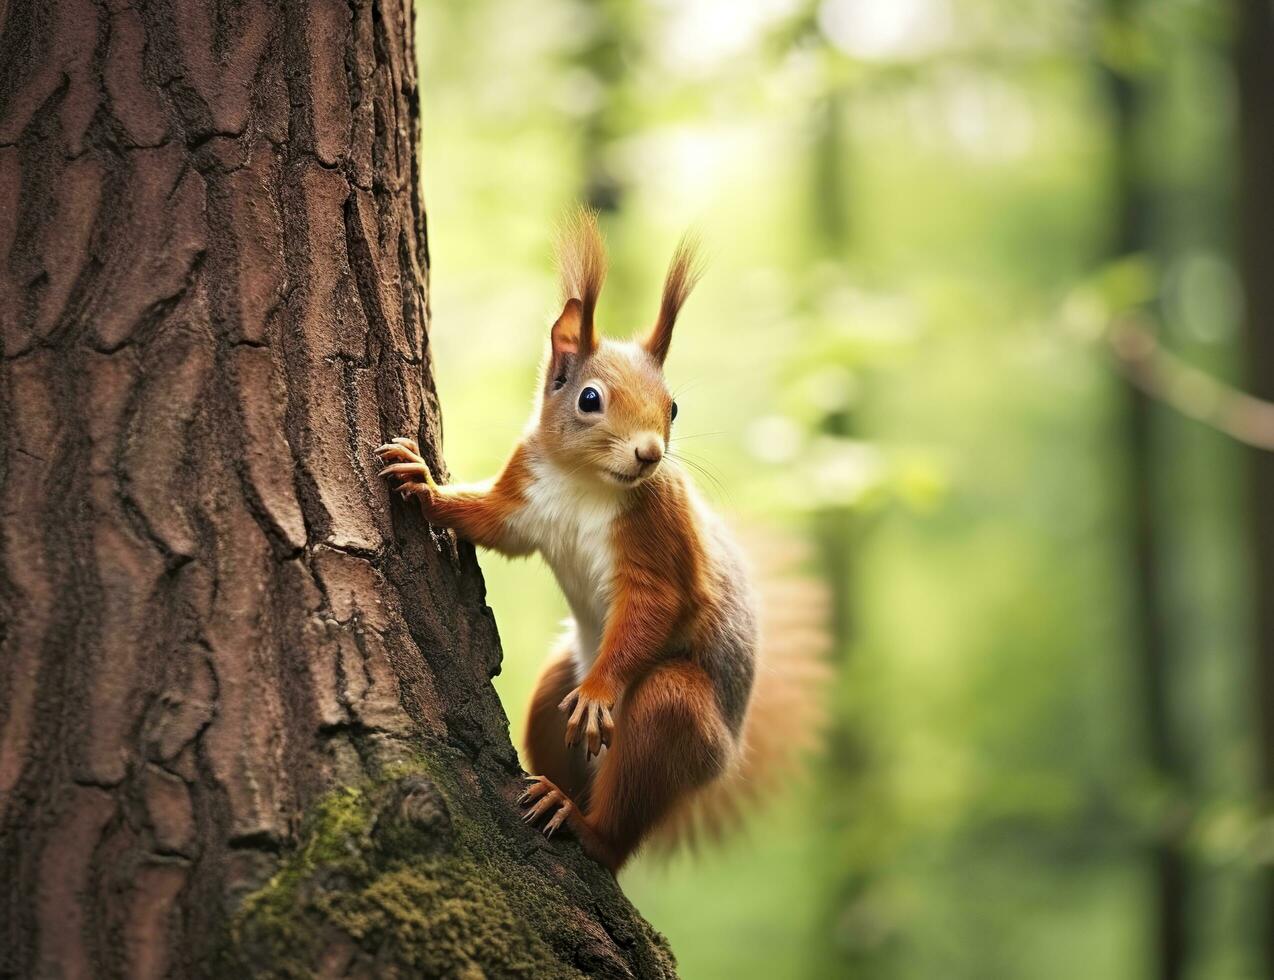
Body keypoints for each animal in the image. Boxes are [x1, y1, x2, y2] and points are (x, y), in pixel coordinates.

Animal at [374, 208, 825, 871]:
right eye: (589, 398)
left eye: (672, 407)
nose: (650, 454)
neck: (584, 483)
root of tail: (719, 769)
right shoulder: (523, 496)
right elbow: (488, 522)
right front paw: (423, 483)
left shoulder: (659, 530)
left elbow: (653, 605)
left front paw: (600, 690)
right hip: (553, 686)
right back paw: (552, 790)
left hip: (675, 718)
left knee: (626, 817)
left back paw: (583, 823)